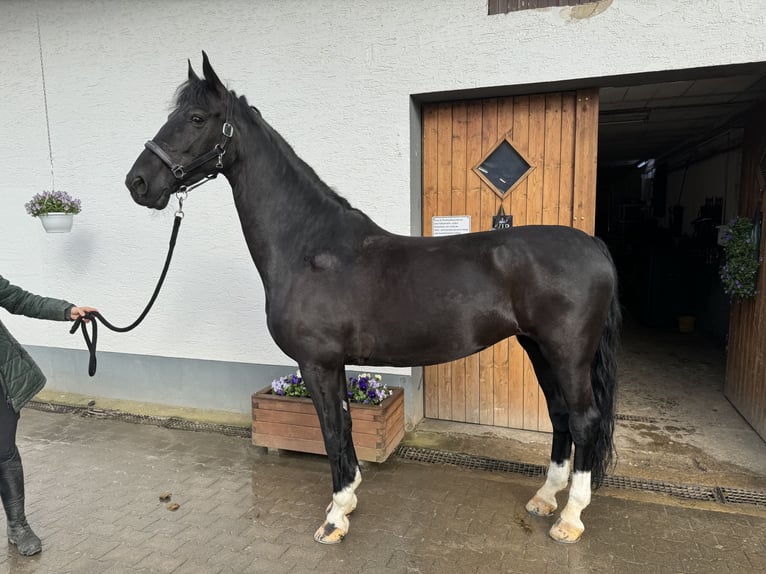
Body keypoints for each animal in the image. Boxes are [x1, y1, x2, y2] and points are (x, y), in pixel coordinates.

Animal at [124, 55, 616, 548]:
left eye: (195, 118)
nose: (137, 182)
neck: (310, 246)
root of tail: (593, 246)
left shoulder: (317, 363)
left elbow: (332, 429)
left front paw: (335, 517)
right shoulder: (334, 363)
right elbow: (342, 428)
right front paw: (345, 501)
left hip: (566, 353)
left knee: (584, 419)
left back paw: (570, 518)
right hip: (537, 347)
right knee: (560, 414)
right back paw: (544, 499)